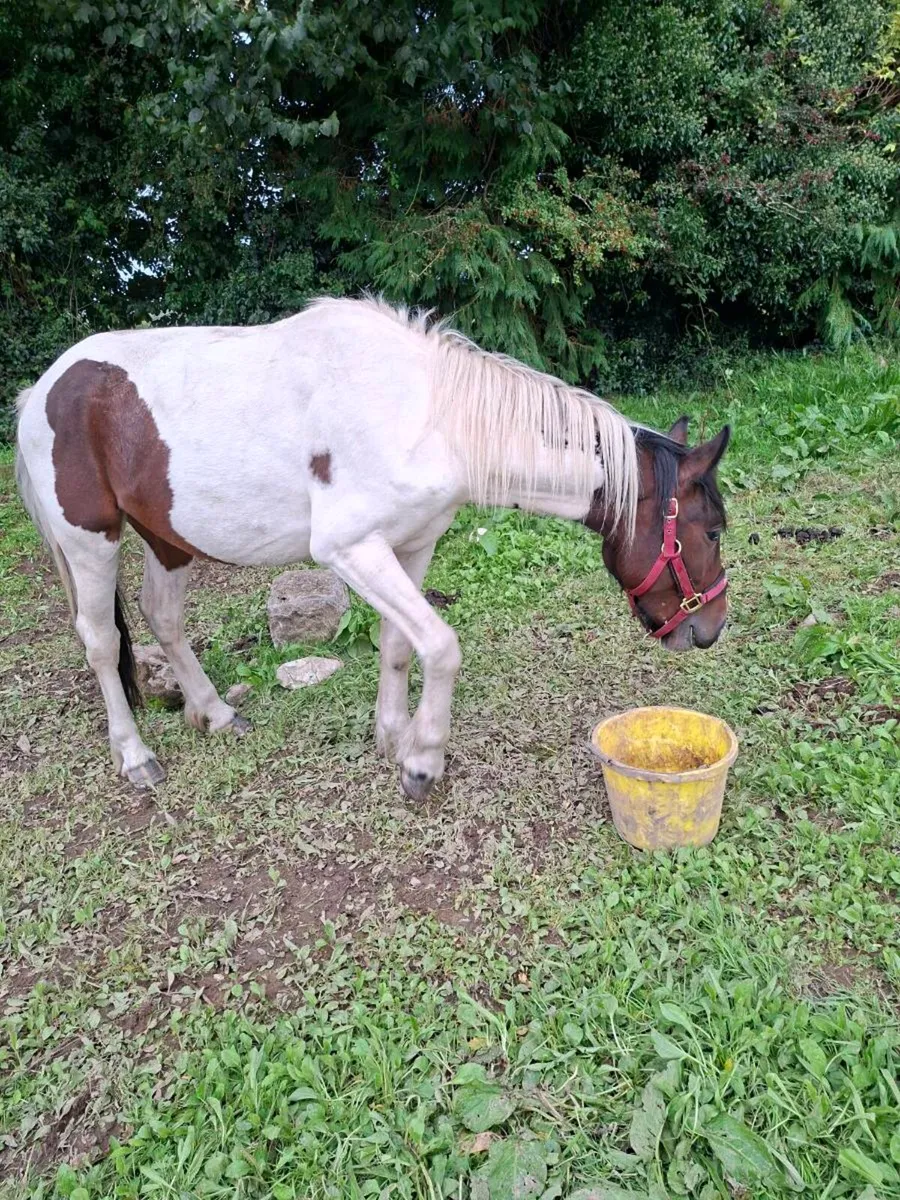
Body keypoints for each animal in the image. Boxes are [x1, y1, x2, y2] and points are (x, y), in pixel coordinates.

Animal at [14, 297, 730, 799]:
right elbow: (441, 645)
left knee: (163, 617)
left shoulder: (411, 546)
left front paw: (393, 737)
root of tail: (40, 389)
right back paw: (135, 756)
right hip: (91, 540)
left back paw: (215, 714)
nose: (711, 628)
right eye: (714, 529)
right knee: (101, 641)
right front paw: (422, 762)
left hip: (167, 535)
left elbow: (398, 644)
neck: (432, 418)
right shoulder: (351, 550)